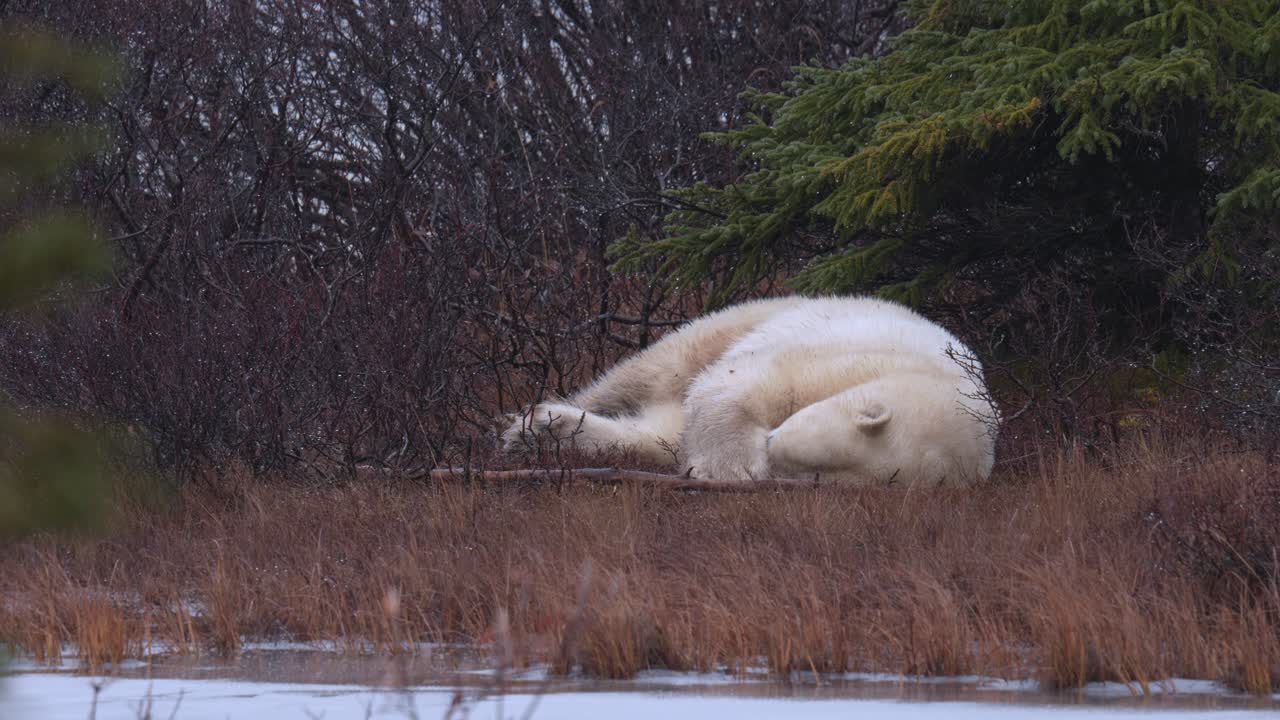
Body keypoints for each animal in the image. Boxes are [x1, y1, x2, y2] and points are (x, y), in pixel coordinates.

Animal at [502, 296, 998, 485]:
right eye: (796, 438)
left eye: (808, 476)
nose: (768, 445)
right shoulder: (853, 357)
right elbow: (742, 382)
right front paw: (732, 469)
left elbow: (671, 436)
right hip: (746, 317)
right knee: (652, 371)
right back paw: (530, 424)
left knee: (653, 430)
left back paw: (548, 430)